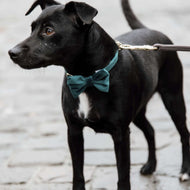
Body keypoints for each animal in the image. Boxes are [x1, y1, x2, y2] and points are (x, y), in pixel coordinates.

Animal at [8, 0, 190, 189]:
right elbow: (78, 175)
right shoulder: (74, 131)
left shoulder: (121, 134)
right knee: (150, 131)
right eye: (31, 28)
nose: (12, 52)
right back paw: (151, 165)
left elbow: (123, 177)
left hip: (174, 100)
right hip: (138, 111)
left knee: (184, 135)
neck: (87, 78)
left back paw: (184, 171)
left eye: (49, 30)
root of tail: (150, 30)